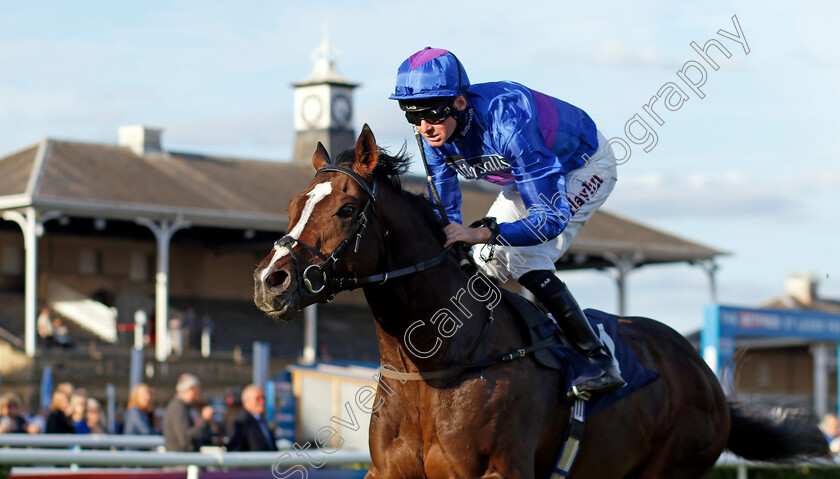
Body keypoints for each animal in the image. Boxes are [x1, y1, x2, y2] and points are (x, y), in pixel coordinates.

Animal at [253, 125, 832, 478]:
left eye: (348, 209)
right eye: (293, 206)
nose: (270, 280)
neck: (436, 364)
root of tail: (701, 370)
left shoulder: (499, 469)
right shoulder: (386, 470)